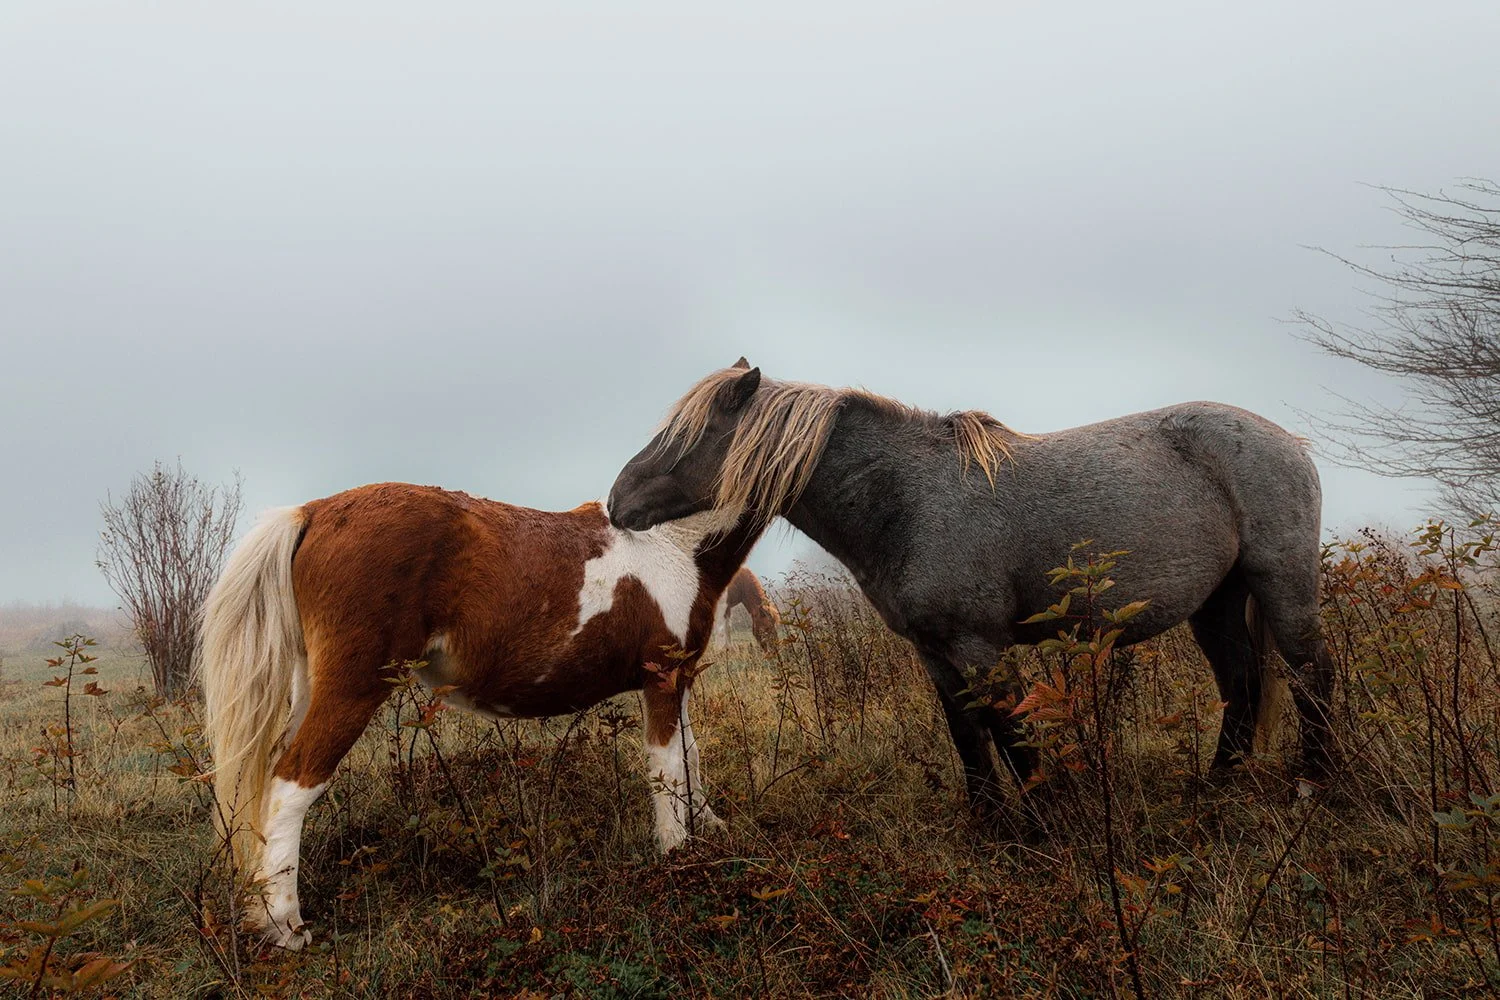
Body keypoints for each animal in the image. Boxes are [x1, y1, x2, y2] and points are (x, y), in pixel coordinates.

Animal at [197, 481, 761, 949]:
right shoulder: (663, 677)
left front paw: (710, 825)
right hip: (352, 690)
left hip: (311, 688)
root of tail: (312, 511)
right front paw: (679, 857)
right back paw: (285, 926)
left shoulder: (681, 678)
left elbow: (688, 753)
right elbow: (667, 766)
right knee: (292, 784)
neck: (674, 545)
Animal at [606, 360, 1335, 820]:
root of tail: (1288, 443)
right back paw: (1217, 786)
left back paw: (1314, 785)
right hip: (1215, 604)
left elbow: (1012, 732)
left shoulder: (981, 646)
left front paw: (1044, 824)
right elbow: (967, 735)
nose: (617, 501)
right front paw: (989, 826)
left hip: (1282, 585)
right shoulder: (934, 651)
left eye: (693, 433)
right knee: (1241, 683)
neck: (907, 502)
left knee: (1312, 674)